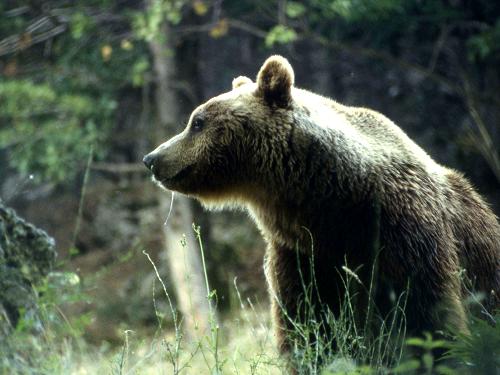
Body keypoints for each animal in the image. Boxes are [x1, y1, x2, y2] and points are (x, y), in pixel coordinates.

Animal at [143, 55, 498, 362]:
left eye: (197, 121)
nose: (152, 158)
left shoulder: (403, 232)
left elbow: (425, 313)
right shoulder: (302, 256)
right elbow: (306, 325)